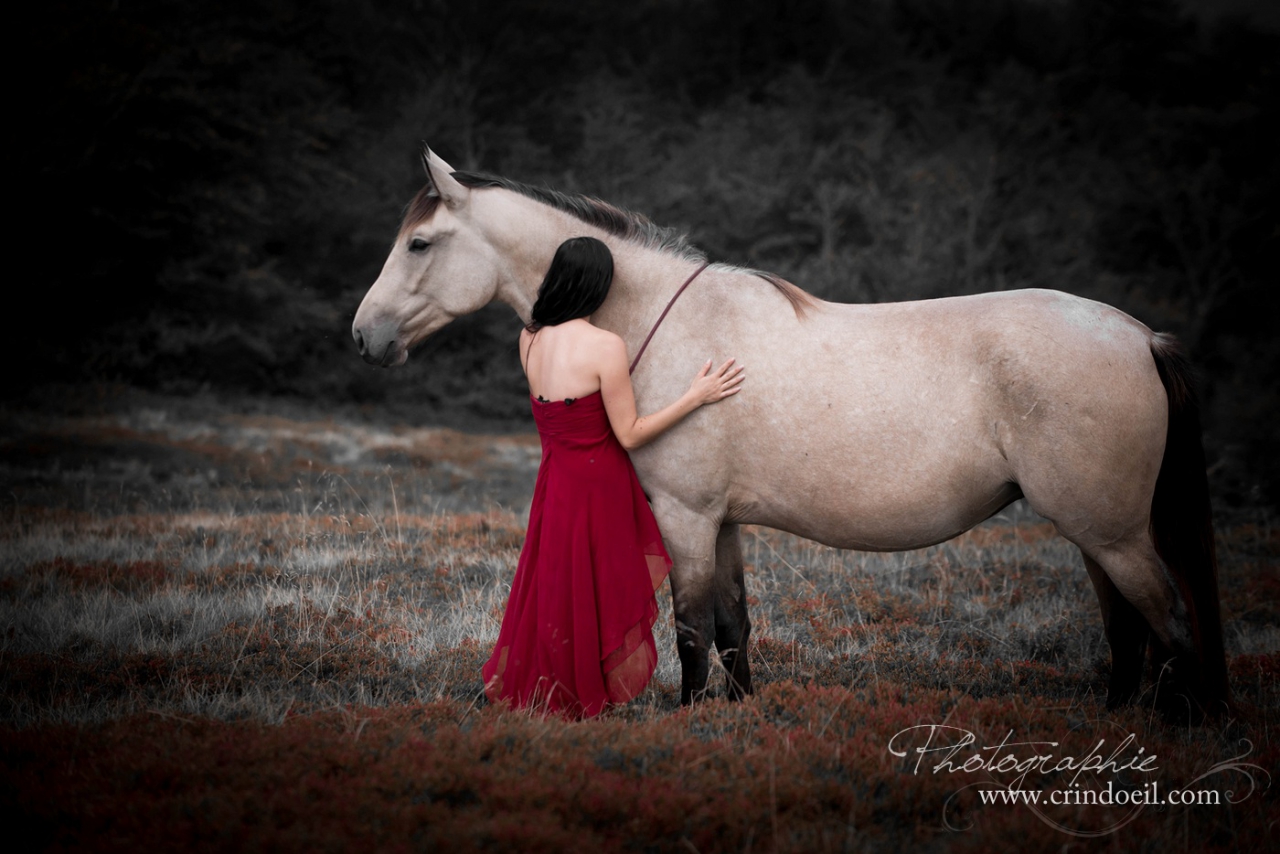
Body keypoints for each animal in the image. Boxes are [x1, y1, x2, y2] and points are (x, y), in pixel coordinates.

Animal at [352, 147, 1229, 720]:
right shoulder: (724, 521)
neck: (671, 326)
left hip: (1112, 532)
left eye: (419, 243)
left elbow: (690, 626)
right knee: (1127, 627)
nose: (365, 336)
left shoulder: (686, 517)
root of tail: (1139, 336)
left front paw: (686, 717)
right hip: (1095, 532)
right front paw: (740, 716)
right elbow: (734, 624)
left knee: (1168, 620)